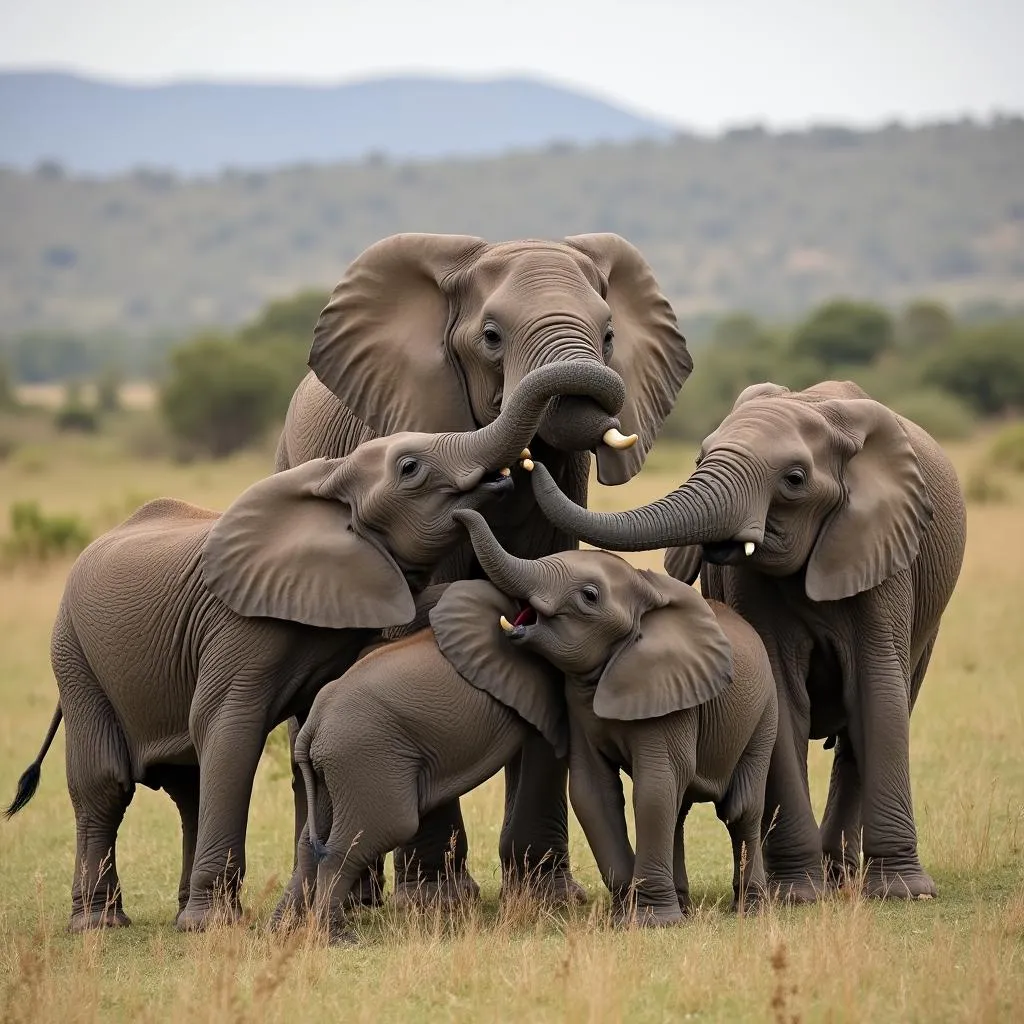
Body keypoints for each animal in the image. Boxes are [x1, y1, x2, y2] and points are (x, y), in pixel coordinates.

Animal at [290, 581, 569, 946]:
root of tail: (313, 725)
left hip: (333, 766)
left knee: (312, 841)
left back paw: (297, 930)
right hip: (363, 758)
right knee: (371, 834)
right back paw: (337, 939)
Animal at [452, 507, 778, 925]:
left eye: (589, 596)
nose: (459, 514)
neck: (645, 592)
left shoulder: (670, 694)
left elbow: (654, 788)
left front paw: (653, 921)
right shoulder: (577, 704)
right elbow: (593, 791)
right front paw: (625, 913)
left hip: (765, 712)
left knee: (740, 809)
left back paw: (750, 908)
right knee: (680, 807)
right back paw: (685, 906)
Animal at [528, 380, 966, 901]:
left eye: (794, 479)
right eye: (700, 459)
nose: (528, 460)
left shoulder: (884, 550)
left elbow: (877, 691)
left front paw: (904, 893)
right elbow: (782, 695)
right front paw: (796, 896)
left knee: (878, 714)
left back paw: (847, 878)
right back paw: (831, 878)